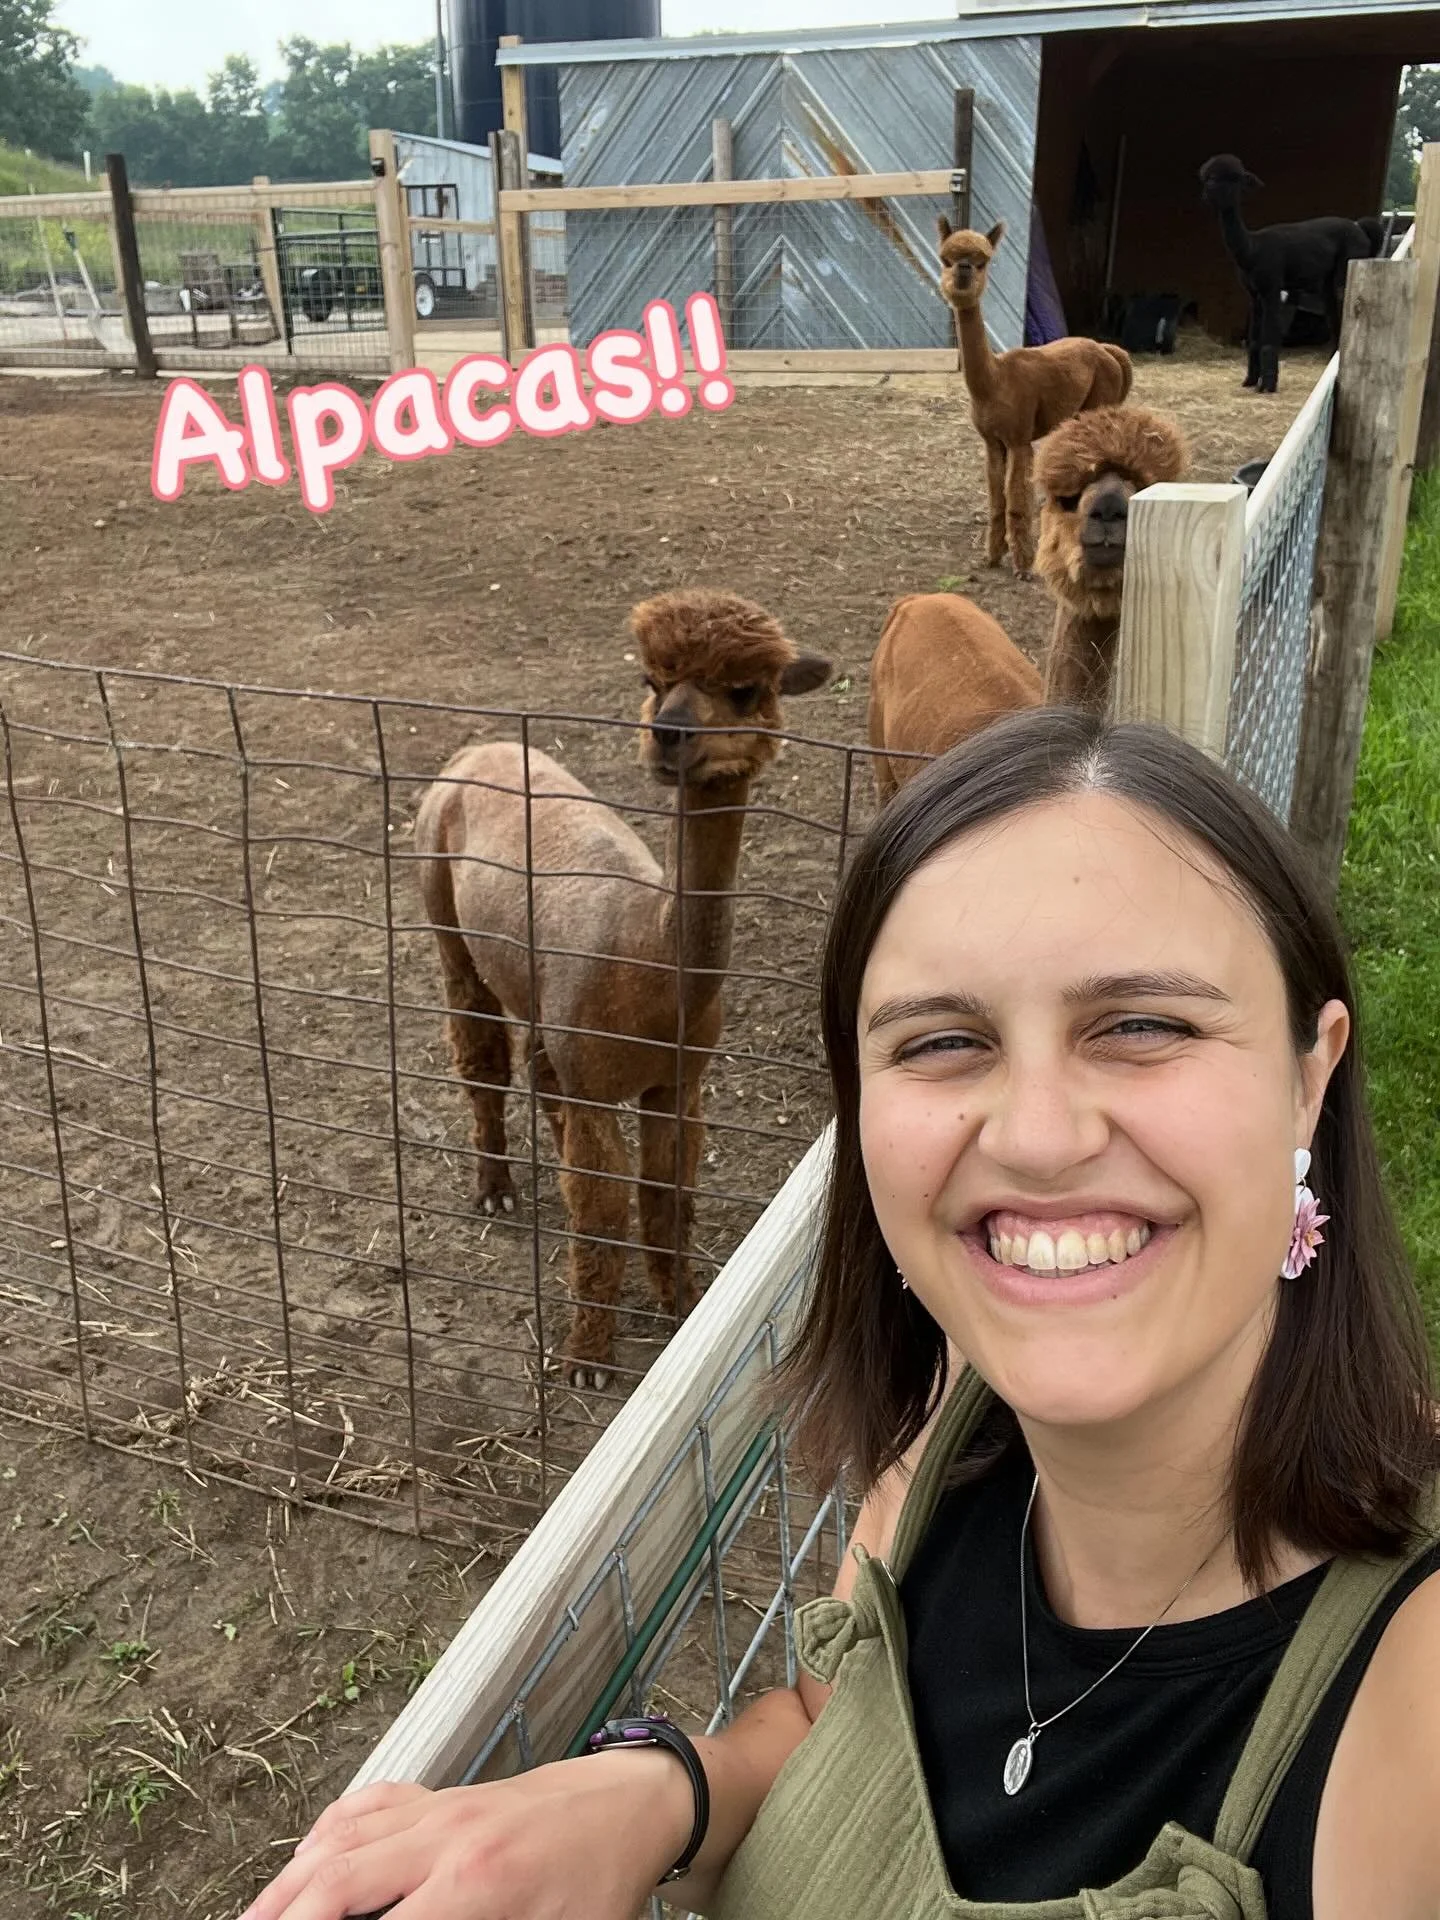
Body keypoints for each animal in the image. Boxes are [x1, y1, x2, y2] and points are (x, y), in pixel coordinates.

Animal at [414, 590, 834, 1389]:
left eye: (744, 689)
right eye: (652, 680)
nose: (669, 733)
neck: (652, 962)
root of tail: (476, 749)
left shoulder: (676, 1081)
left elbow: (666, 1197)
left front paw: (683, 1307)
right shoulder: (600, 1077)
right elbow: (604, 1209)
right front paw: (587, 1358)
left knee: (542, 1071)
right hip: (442, 906)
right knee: (482, 1055)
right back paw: (496, 1186)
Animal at [937, 217, 1134, 577]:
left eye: (982, 261)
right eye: (946, 258)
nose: (963, 271)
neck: (994, 382)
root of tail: (1107, 350)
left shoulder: (1019, 438)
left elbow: (1016, 501)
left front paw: (1023, 566)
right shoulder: (992, 441)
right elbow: (996, 499)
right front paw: (991, 557)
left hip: (1101, 400)